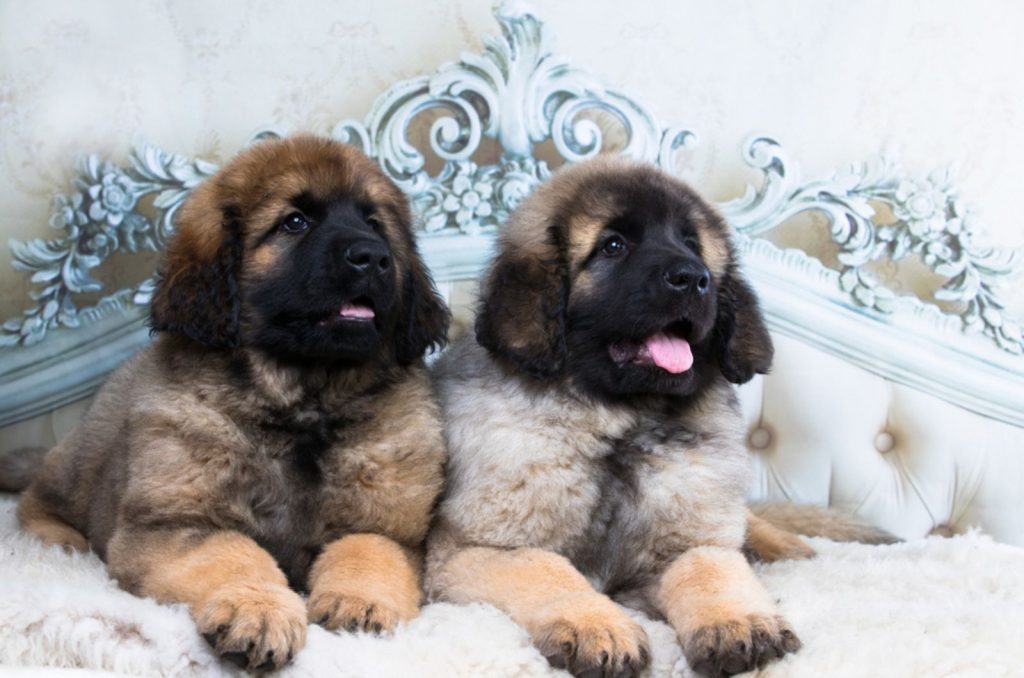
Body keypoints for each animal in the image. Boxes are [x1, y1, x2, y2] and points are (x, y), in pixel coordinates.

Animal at [12, 135, 448, 671]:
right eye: (295, 222)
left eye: (374, 223)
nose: (372, 256)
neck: (302, 403)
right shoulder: (174, 525)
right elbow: (233, 553)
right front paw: (257, 610)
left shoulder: (391, 528)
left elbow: (366, 551)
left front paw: (357, 601)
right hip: (85, 458)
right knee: (39, 496)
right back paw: (61, 543)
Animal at [423, 156, 798, 675]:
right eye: (614, 246)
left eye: (692, 243)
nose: (693, 277)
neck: (617, 424)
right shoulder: (469, 551)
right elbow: (546, 569)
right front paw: (597, 625)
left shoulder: (686, 542)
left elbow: (710, 566)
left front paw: (738, 621)